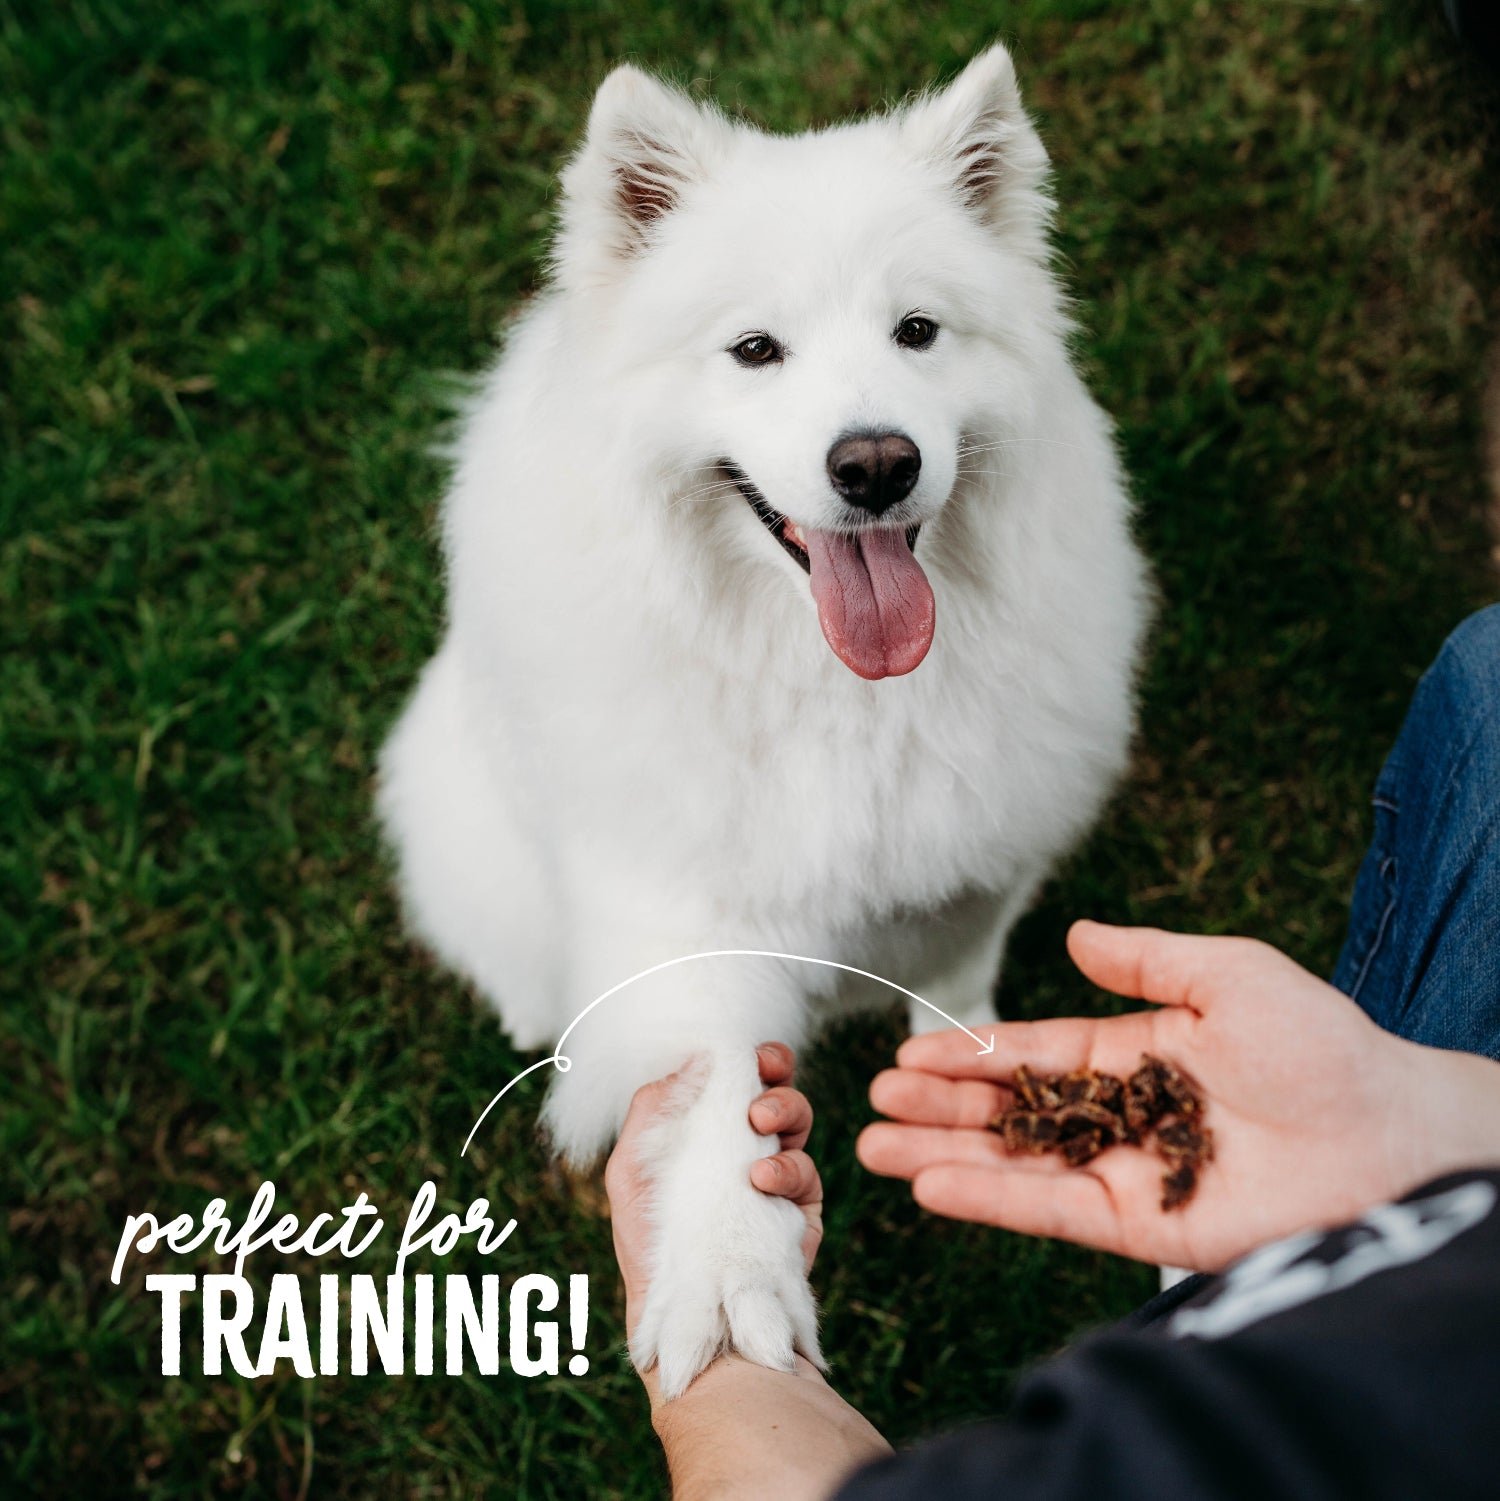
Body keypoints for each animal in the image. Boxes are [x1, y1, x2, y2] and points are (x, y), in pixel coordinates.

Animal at [378, 46, 1147, 1398]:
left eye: (917, 331)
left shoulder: (973, 861)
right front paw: (728, 1285)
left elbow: (956, 977)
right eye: (753, 349)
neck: (833, 678)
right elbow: (715, 1101)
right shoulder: (689, 914)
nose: (876, 463)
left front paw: (969, 1061)